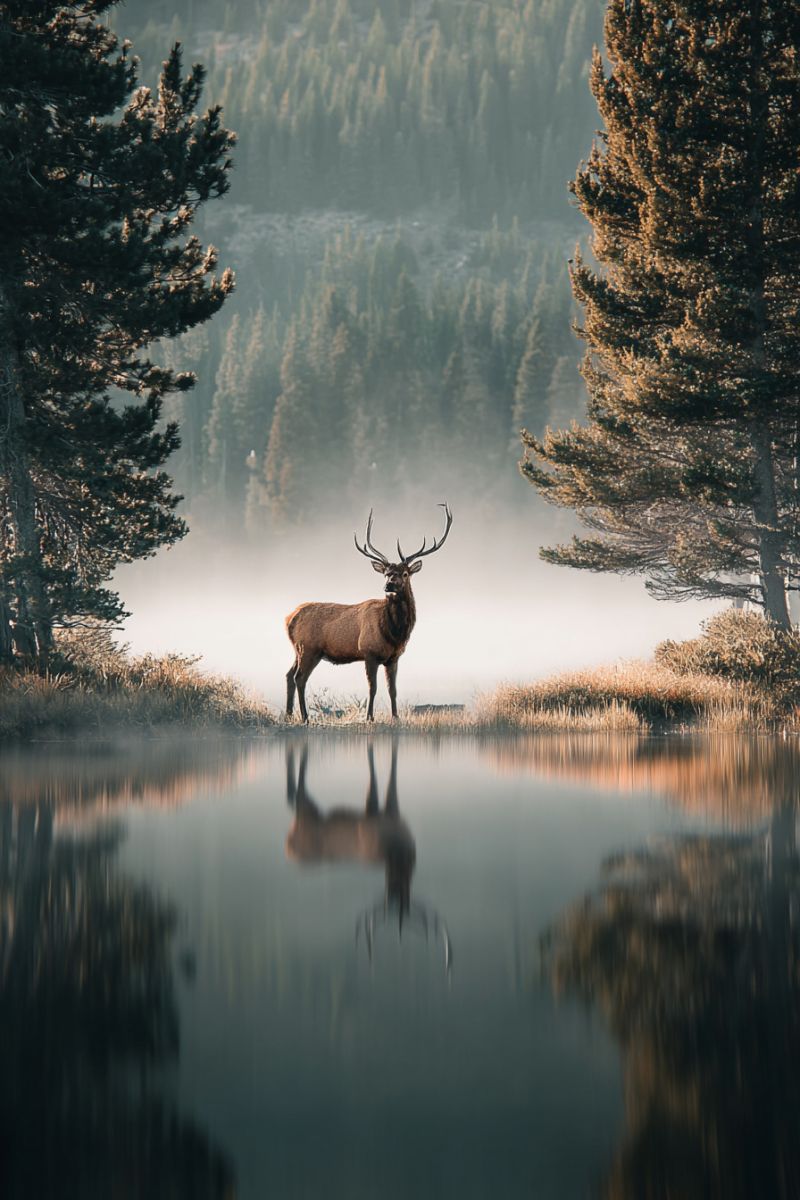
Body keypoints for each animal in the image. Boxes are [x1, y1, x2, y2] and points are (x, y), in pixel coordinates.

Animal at [284, 503, 453, 723]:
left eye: (405, 573)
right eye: (386, 573)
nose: (388, 585)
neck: (394, 633)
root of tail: (289, 619)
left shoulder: (394, 658)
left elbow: (393, 690)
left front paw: (395, 717)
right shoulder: (368, 652)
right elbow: (373, 688)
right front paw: (369, 717)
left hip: (299, 649)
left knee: (289, 675)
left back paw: (288, 715)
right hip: (309, 648)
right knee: (299, 678)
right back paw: (304, 717)